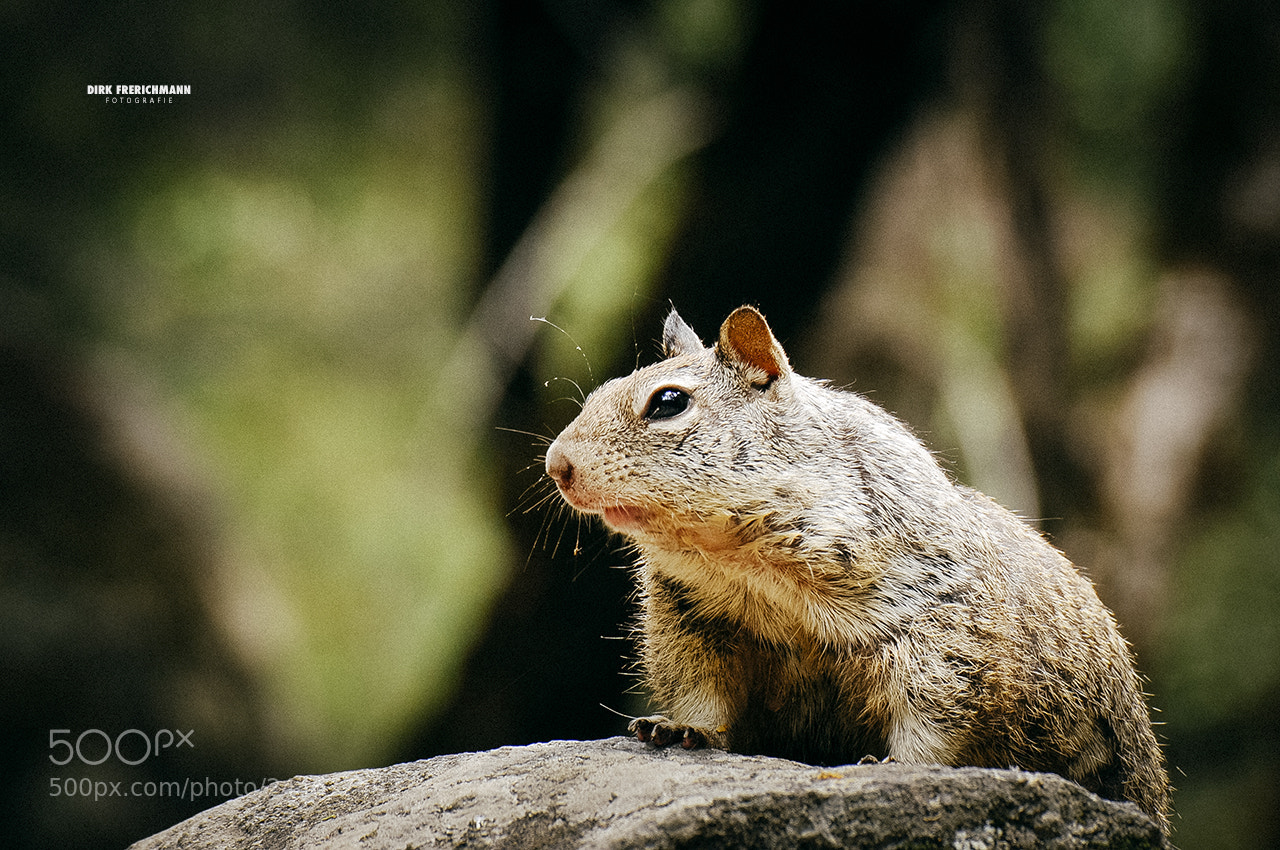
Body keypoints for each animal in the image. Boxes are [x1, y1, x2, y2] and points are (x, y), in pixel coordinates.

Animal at [544, 305, 1171, 835]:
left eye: (668, 402)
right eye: (599, 392)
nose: (557, 464)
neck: (743, 563)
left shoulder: (941, 632)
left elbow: (935, 721)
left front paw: (895, 765)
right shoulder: (691, 623)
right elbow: (705, 695)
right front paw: (681, 728)